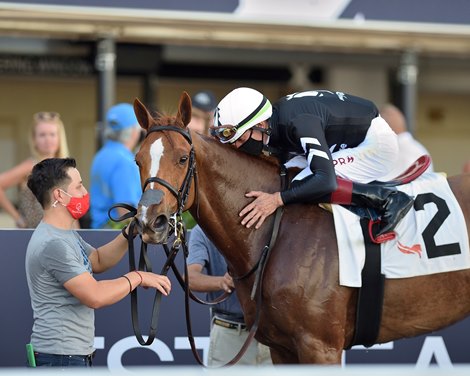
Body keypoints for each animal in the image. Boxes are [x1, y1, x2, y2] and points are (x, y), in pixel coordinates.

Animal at [131, 92, 470, 364]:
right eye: (138, 160)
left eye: (182, 158)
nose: (150, 221)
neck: (276, 232)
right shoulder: (282, 347)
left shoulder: (321, 346)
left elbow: (326, 177)